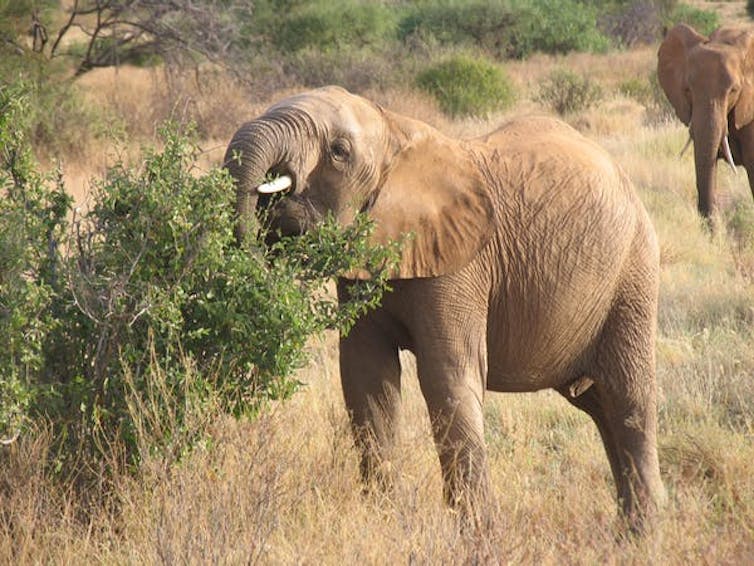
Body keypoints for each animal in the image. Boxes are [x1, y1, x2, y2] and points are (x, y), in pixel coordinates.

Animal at [224, 86, 665, 531]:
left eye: (338, 151)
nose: (269, 227)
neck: (395, 132)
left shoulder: (462, 264)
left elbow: (446, 375)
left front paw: (478, 532)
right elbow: (365, 376)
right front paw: (384, 519)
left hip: (632, 276)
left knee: (627, 400)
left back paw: (642, 534)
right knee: (598, 405)